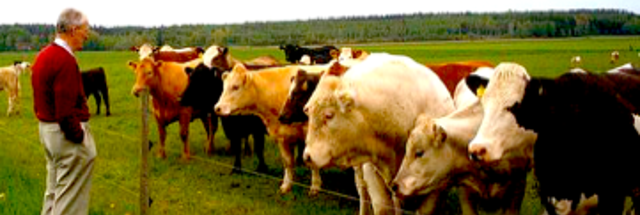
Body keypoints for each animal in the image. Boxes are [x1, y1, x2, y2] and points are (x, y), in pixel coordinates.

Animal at [214, 63, 322, 196]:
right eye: (223, 87)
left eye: (235, 87)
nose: (217, 108)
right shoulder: (282, 137)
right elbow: (288, 162)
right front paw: (286, 186)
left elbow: (313, 161)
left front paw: (315, 187)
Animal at [302, 53, 456, 215]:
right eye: (308, 111)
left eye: (329, 115)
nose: (307, 157)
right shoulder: (372, 171)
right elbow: (382, 207)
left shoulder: (437, 187)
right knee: (362, 190)